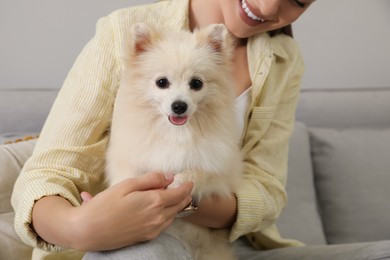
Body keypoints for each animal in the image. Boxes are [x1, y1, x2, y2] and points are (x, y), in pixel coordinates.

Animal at [105, 22, 242, 260]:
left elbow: (199, 172)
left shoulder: (220, 177)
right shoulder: (130, 161)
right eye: (162, 82)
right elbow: (129, 178)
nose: (179, 105)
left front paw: (180, 181)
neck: (175, 132)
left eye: (196, 83)